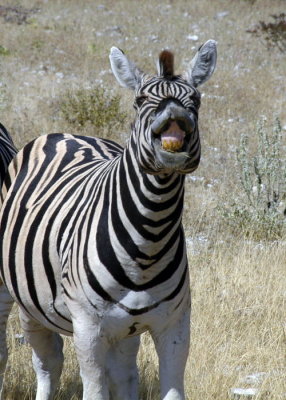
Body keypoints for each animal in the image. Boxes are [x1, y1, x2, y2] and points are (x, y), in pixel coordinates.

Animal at [0, 41, 216, 400]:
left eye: (195, 100)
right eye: (140, 100)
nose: (176, 115)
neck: (149, 237)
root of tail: (66, 134)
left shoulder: (174, 325)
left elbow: (169, 389)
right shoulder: (88, 328)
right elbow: (94, 390)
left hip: (125, 330)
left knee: (123, 374)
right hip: (23, 299)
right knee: (45, 361)